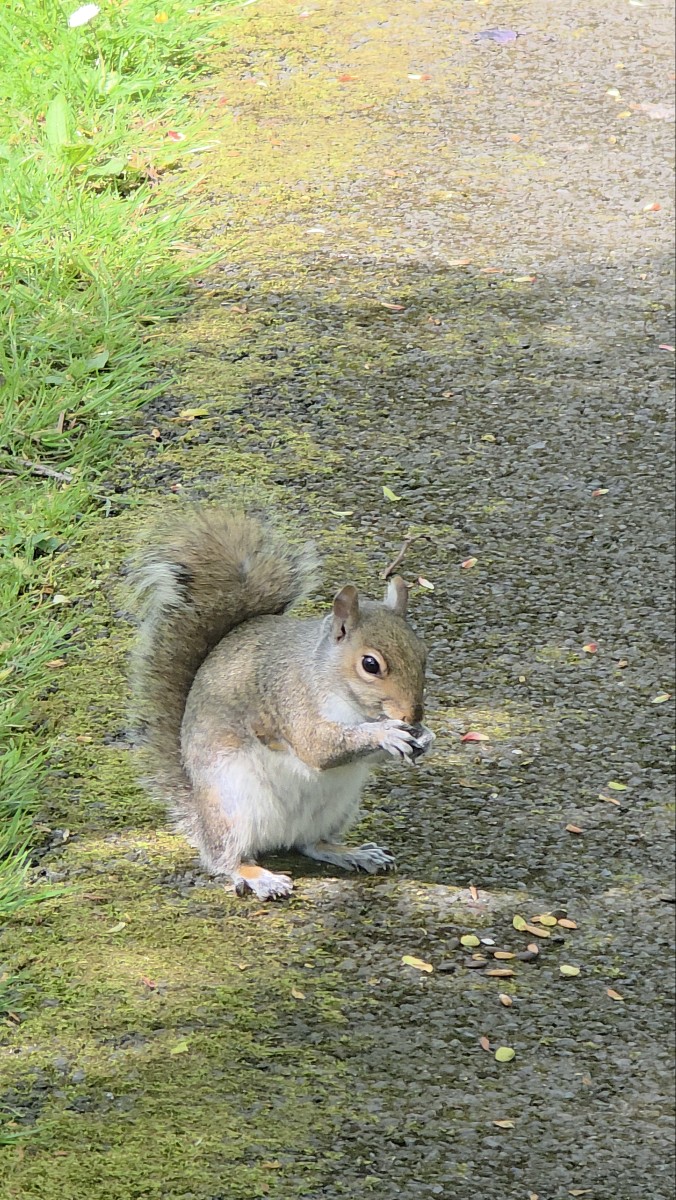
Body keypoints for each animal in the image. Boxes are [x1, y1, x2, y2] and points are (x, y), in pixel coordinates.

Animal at [128, 507, 435, 900]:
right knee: (225, 858)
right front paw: (386, 733)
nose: (412, 714)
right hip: (232, 806)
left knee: (311, 844)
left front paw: (425, 736)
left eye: (422, 654)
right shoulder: (290, 698)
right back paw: (260, 876)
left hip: (337, 806)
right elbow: (317, 746)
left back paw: (352, 853)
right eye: (370, 664)